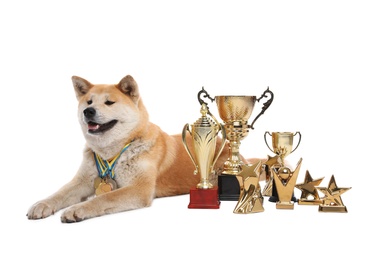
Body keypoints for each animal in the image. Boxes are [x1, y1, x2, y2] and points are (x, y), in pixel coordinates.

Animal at [27, 74, 260, 222]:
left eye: (109, 102)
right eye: (88, 102)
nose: (88, 111)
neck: (112, 152)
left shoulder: (139, 189)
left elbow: (103, 197)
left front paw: (78, 209)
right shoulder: (82, 181)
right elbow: (61, 192)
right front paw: (42, 204)